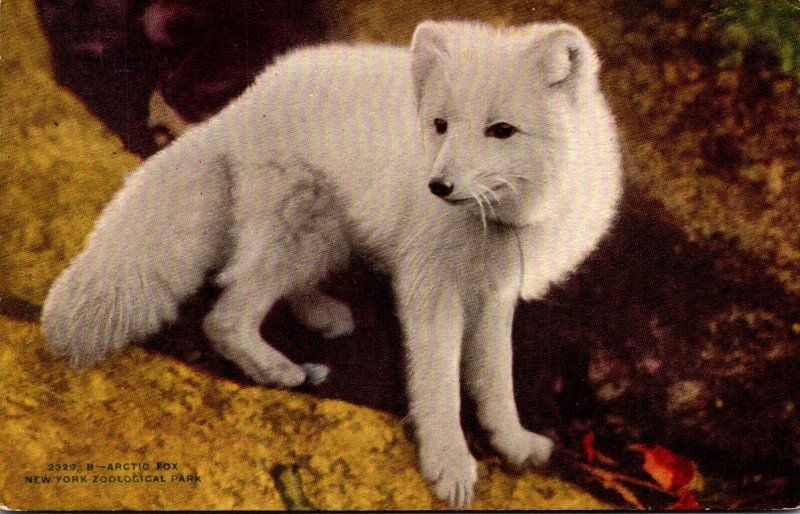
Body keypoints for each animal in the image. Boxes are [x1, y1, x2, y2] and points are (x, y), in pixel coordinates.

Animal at [40, 19, 620, 504]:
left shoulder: (497, 292)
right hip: (304, 232)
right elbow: (439, 385)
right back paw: (278, 368)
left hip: (328, 237)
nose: (437, 187)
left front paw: (513, 442)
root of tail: (248, 99)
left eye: (501, 130)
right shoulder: (429, 287)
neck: (495, 221)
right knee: (226, 316)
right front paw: (449, 465)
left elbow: (495, 376)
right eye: (440, 125)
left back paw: (321, 313)